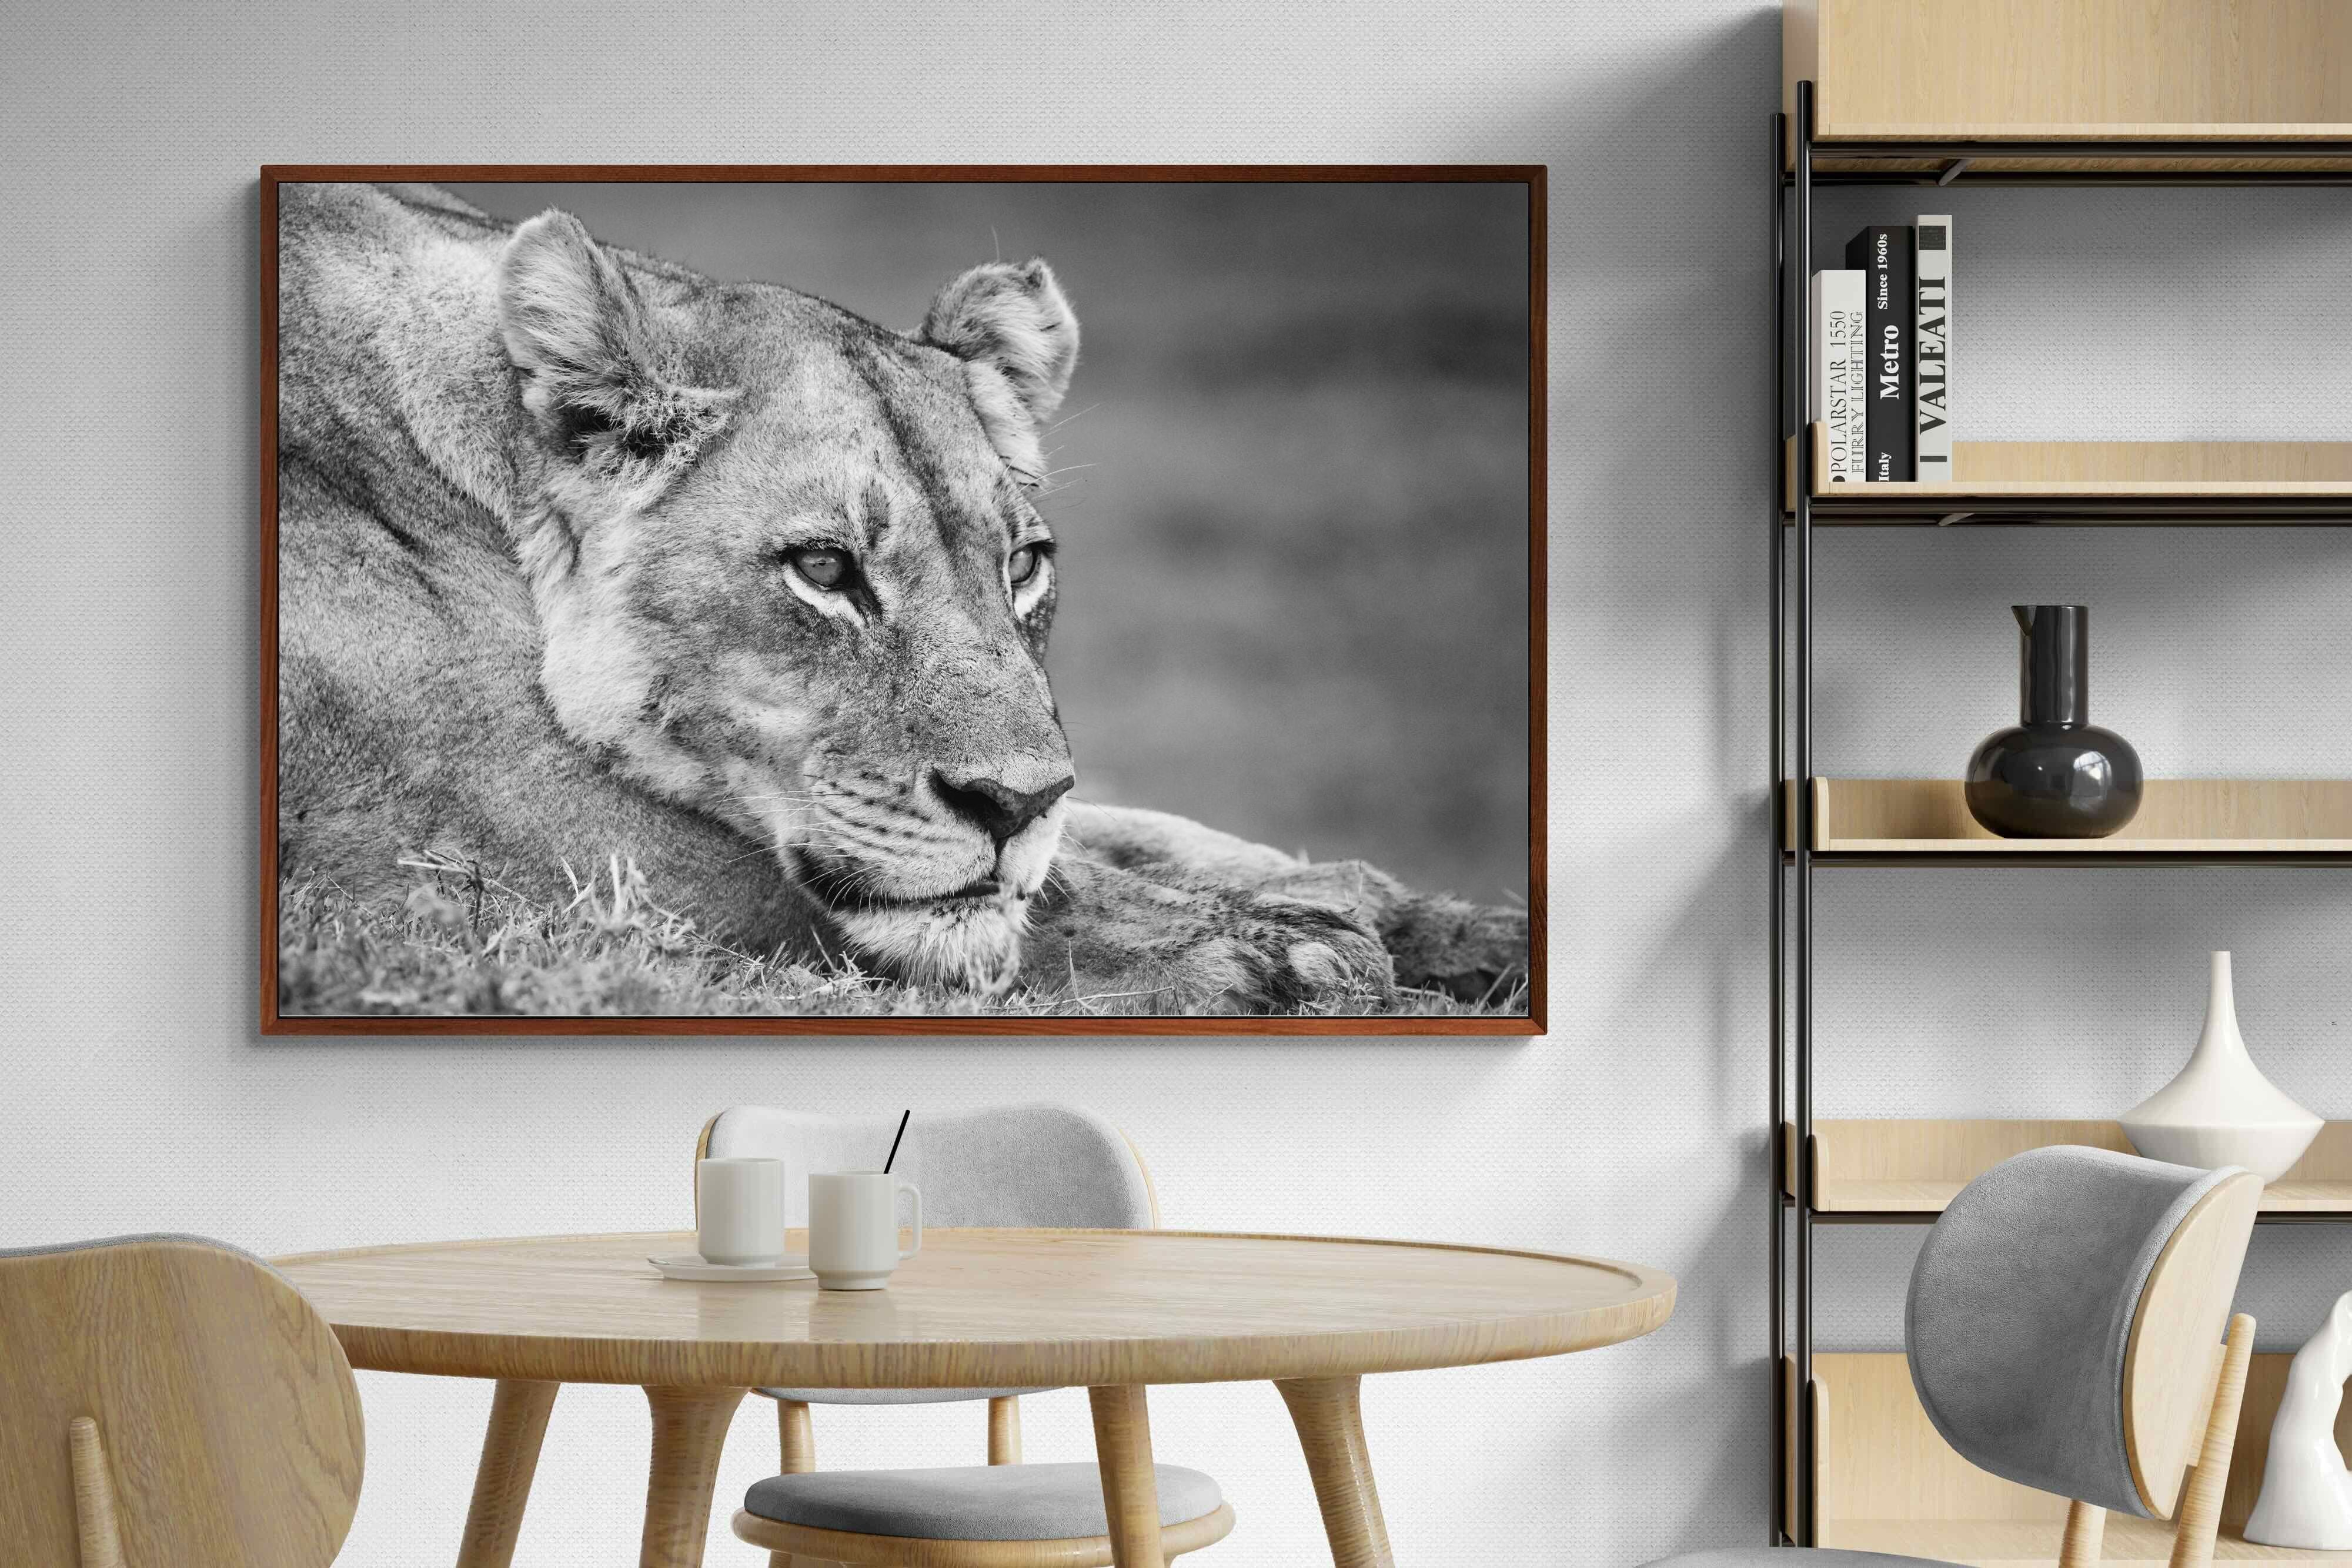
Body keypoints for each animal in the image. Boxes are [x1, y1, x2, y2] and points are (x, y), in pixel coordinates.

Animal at [276, 182, 1527, 1013]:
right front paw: (1287, 953)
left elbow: (1141, 833)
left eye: (1022, 565)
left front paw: (1442, 920)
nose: (1010, 806)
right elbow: (1005, 899)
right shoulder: (499, 836)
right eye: (825, 569)